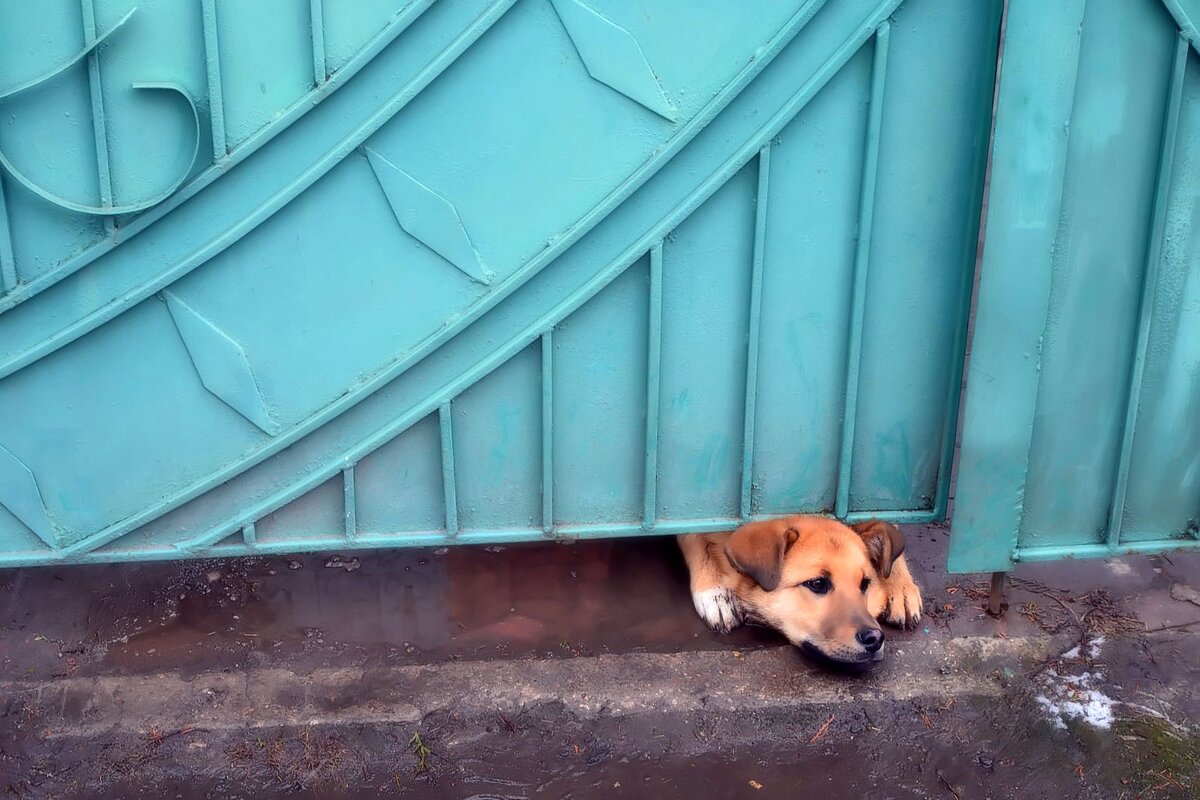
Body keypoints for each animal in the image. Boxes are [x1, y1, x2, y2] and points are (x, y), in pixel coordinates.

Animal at [681, 515, 921, 666]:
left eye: (864, 584)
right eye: (817, 584)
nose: (875, 638)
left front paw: (900, 586)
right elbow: (692, 536)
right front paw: (713, 592)